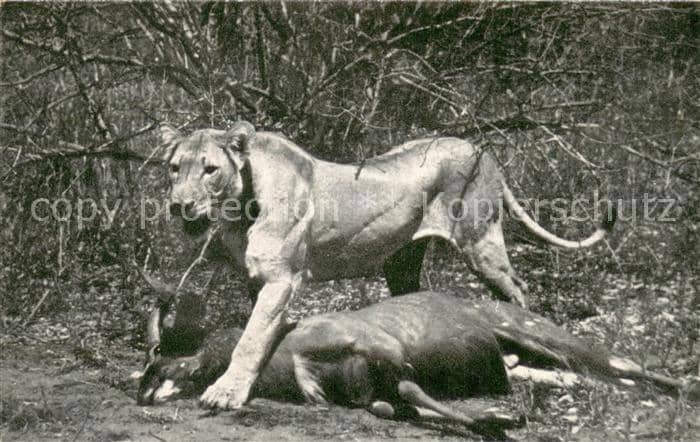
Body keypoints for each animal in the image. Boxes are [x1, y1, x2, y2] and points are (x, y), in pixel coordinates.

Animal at [160, 121, 614, 409]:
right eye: (174, 168)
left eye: (209, 169)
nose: (178, 205)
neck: (239, 205)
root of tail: (481, 151)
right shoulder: (258, 280)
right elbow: (257, 334)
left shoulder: (282, 280)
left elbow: (251, 340)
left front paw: (226, 392)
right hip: (402, 262)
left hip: (479, 241)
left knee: (517, 289)